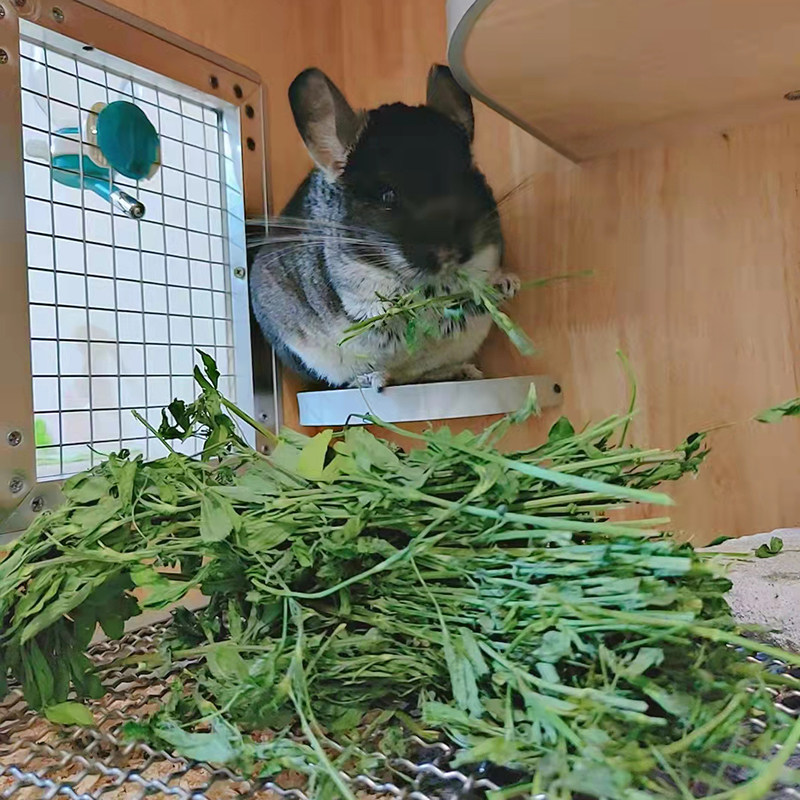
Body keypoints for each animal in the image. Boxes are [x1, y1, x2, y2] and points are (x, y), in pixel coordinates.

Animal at [248, 64, 518, 391]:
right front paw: (406, 306)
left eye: (467, 179)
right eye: (387, 195)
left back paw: (461, 371)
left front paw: (507, 283)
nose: (449, 253)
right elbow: (382, 310)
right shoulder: (357, 290)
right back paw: (373, 379)